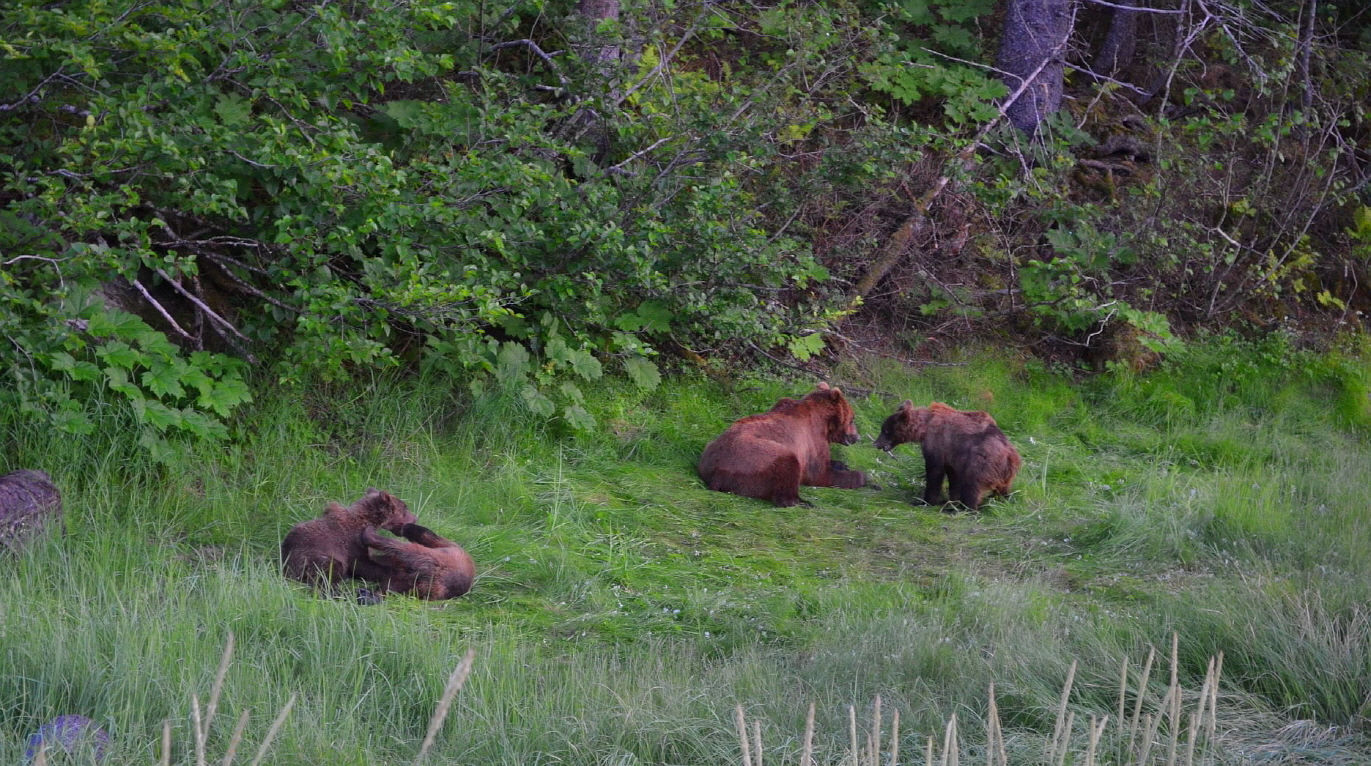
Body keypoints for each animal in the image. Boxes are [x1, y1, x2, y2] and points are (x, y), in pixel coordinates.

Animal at [279, 487, 416, 589]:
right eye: (405, 507)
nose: (415, 518)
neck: (368, 521)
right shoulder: (352, 544)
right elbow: (362, 565)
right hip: (311, 556)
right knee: (328, 573)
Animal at [696, 380, 866, 507]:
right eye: (853, 418)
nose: (857, 437)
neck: (825, 422)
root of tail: (716, 473)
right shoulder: (812, 439)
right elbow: (819, 474)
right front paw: (862, 476)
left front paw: (842, 464)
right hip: (755, 458)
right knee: (787, 465)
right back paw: (800, 502)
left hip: (710, 448)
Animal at [871, 402, 1025, 509]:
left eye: (886, 430)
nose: (876, 443)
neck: (924, 427)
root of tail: (1008, 454)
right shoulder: (953, 455)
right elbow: (953, 475)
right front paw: (951, 499)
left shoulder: (937, 443)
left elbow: (935, 470)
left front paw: (924, 501)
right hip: (1007, 473)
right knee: (1003, 489)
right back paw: (1001, 500)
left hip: (982, 461)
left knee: (972, 484)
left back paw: (966, 508)